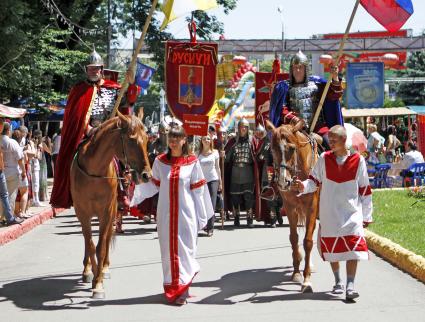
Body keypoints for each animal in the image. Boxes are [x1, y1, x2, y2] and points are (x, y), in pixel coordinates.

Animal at [68, 114, 150, 300]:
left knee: (106, 238)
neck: (94, 172)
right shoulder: (82, 212)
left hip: (112, 211)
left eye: (147, 138)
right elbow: (90, 244)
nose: (146, 175)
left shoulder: (106, 211)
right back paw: (87, 270)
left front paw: (98, 283)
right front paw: (92, 274)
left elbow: (101, 246)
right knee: (88, 241)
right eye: (131, 139)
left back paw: (104, 267)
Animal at [264, 120, 318, 292]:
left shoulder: (312, 207)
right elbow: (294, 238)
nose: (283, 182)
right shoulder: (289, 207)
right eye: (272, 148)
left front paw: (307, 280)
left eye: (292, 148)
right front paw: (296, 272)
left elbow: (308, 241)